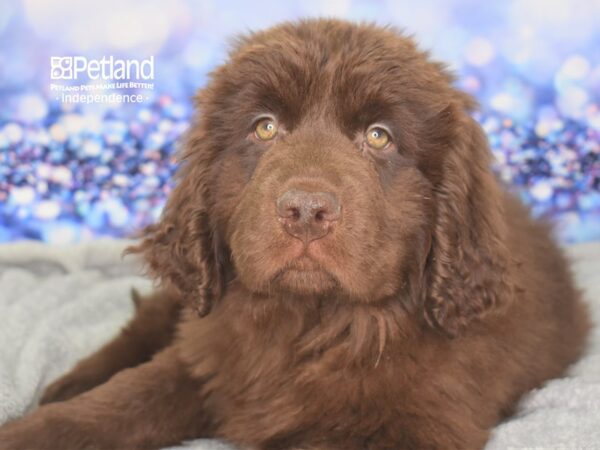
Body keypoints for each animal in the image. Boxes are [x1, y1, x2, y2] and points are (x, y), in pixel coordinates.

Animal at [0, 18, 592, 450]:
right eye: (264, 127)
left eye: (379, 137)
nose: (305, 209)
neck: (312, 322)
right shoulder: (206, 359)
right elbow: (119, 402)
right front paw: (36, 427)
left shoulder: (415, 423)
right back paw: (69, 382)